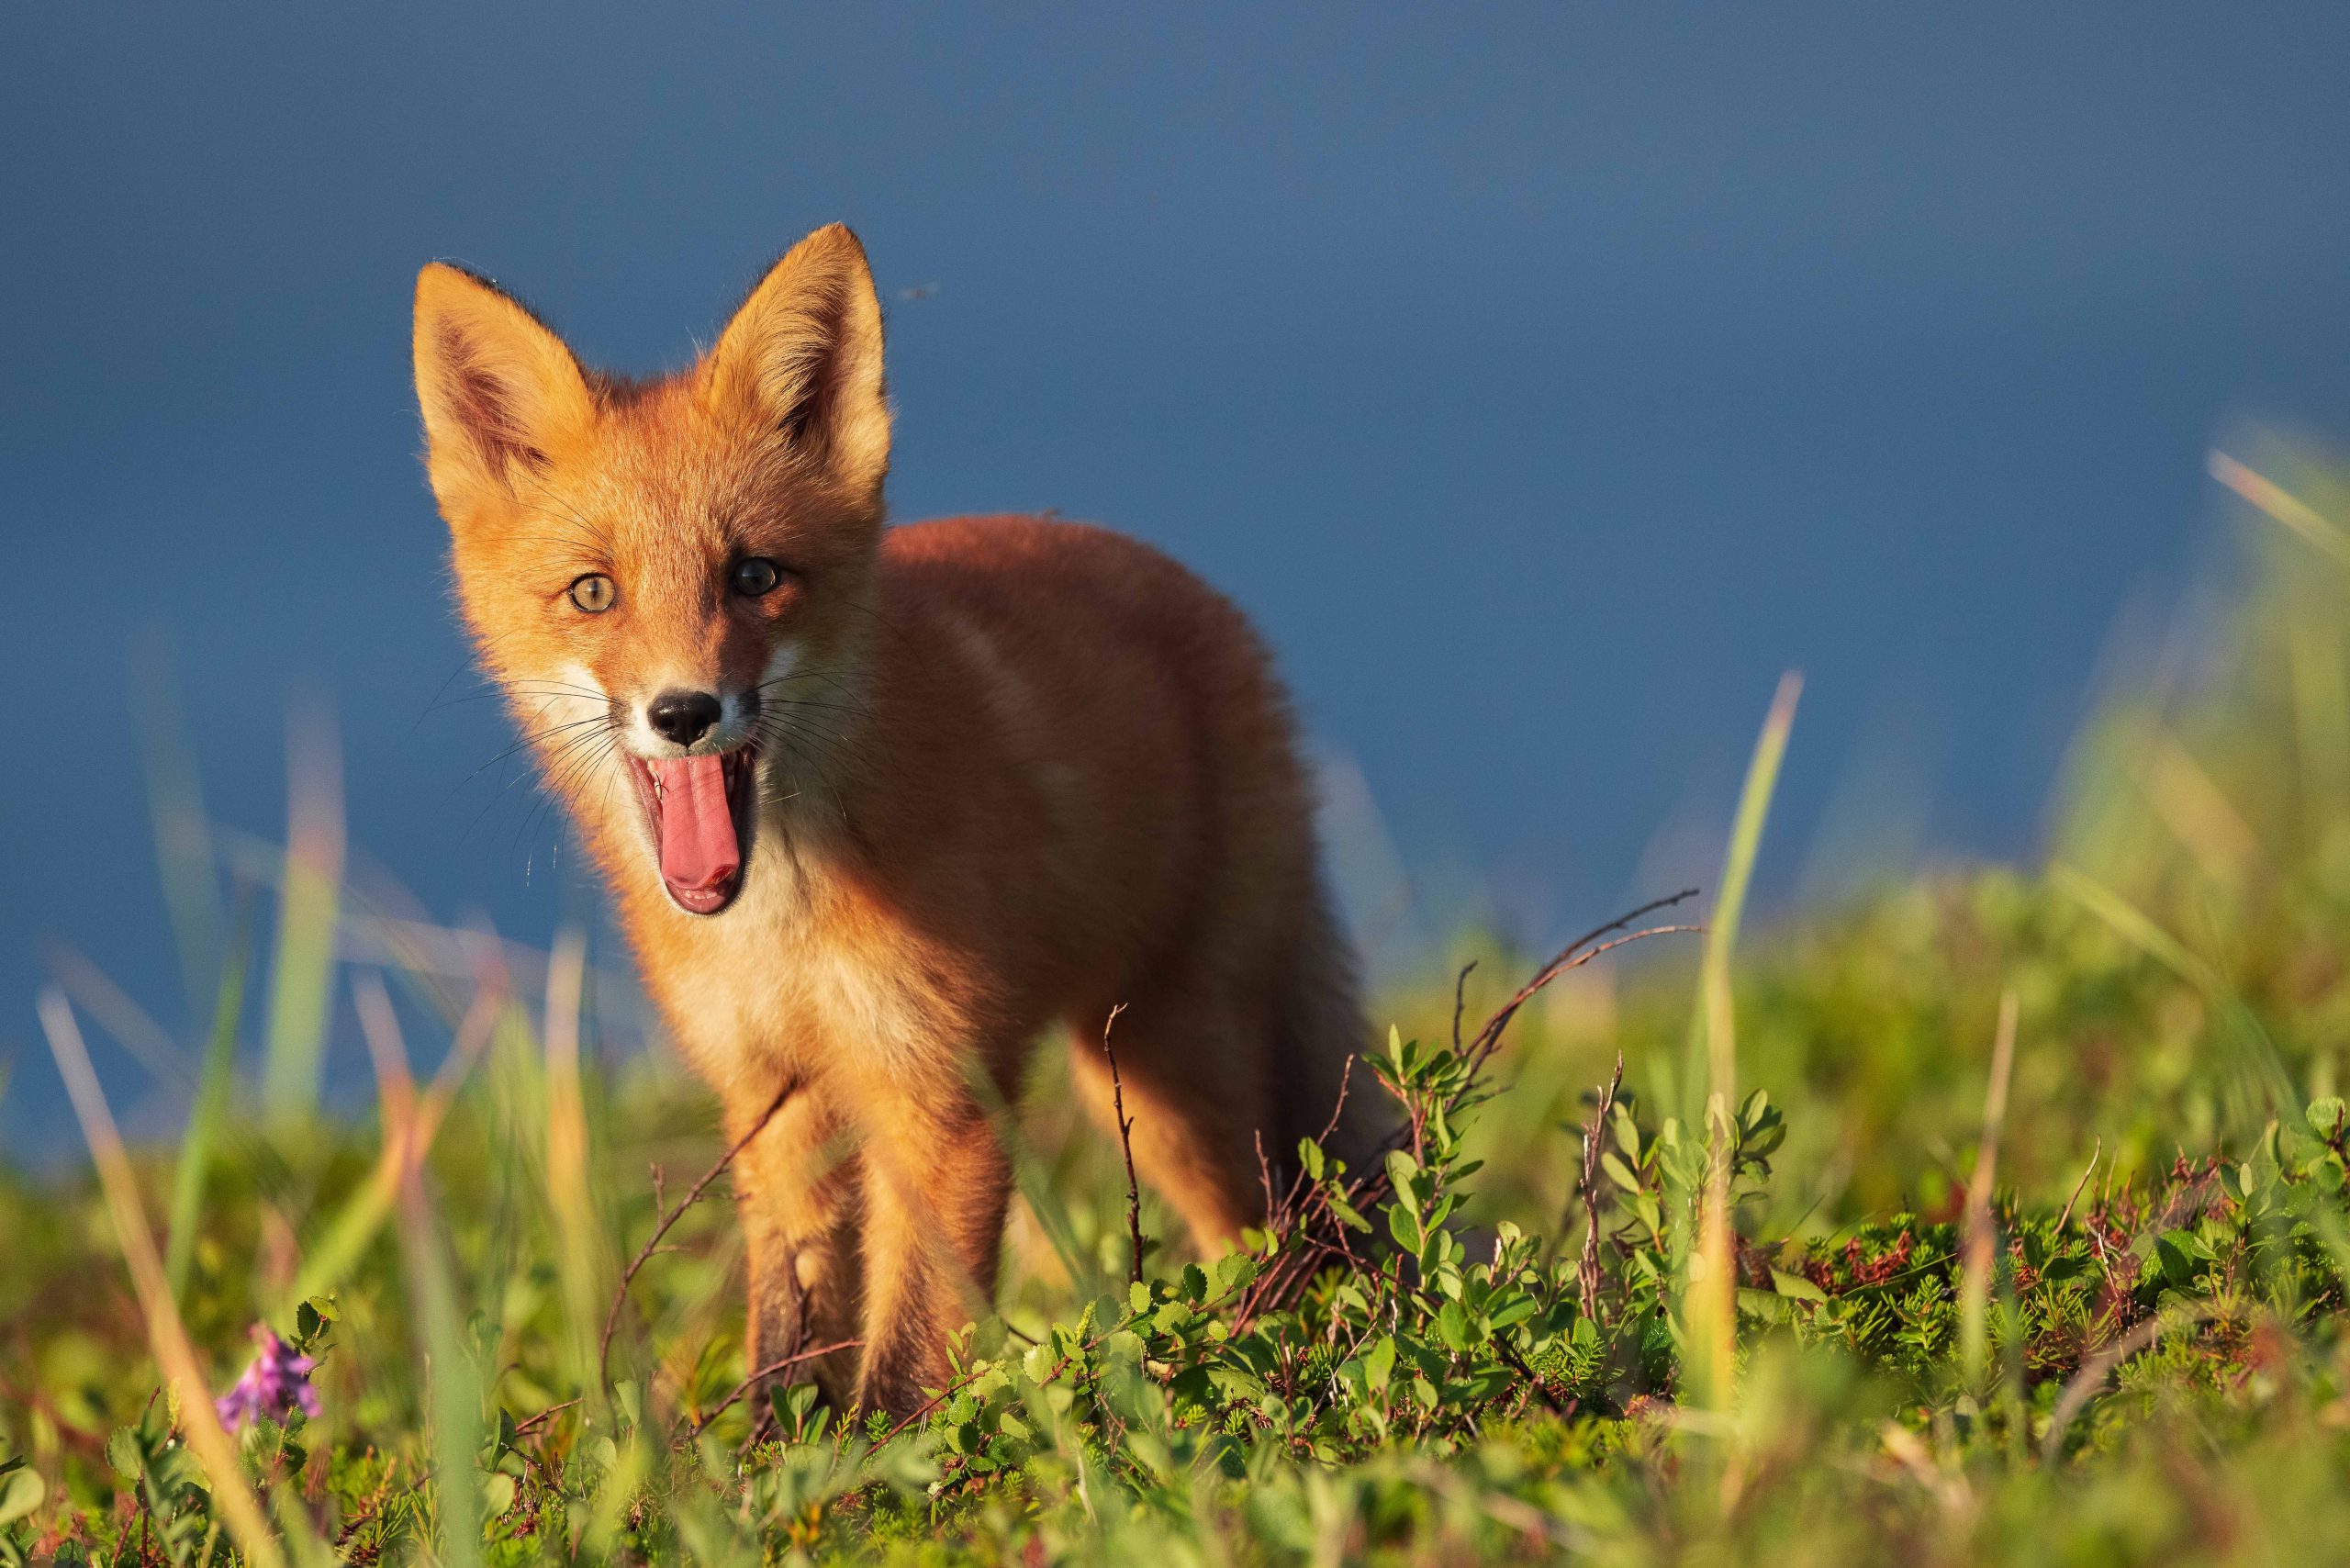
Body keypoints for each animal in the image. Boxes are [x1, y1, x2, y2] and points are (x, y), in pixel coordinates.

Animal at [413, 220, 1372, 1410]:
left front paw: (889, 1458)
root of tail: (1207, 599)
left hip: (1174, 1081)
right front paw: (770, 1457)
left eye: (754, 576)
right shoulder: (774, 1098)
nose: (684, 713)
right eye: (595, 592)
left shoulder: (941, 1093)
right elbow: (790, 1338)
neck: (782, 919)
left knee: (1268, 1236)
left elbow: (907, 1363)